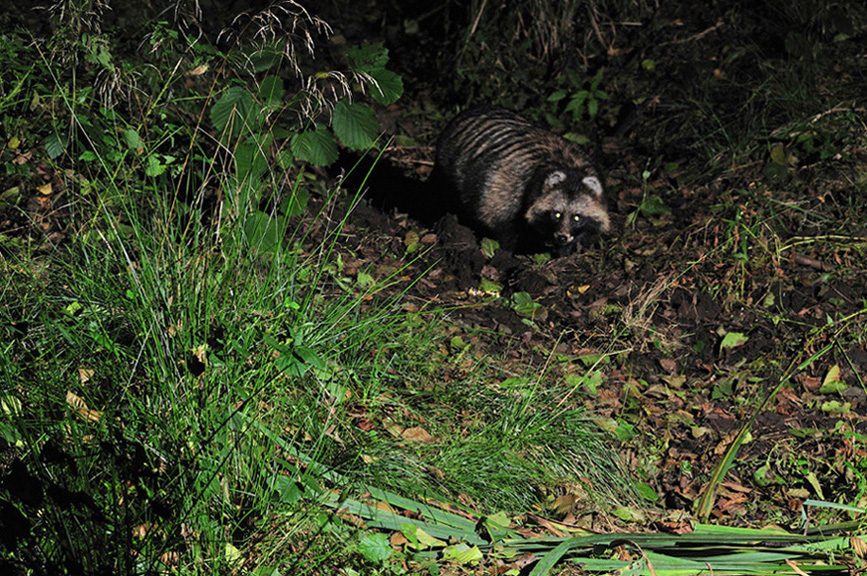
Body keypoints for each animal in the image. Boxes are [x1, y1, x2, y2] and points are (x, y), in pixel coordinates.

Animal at [434, 107, 612, 255]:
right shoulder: (506, 192)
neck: (570, 169)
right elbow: (504, 229)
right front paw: (504, 256)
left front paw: (564, 253)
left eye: (577, 218)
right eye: (557, 215)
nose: (562, 237)